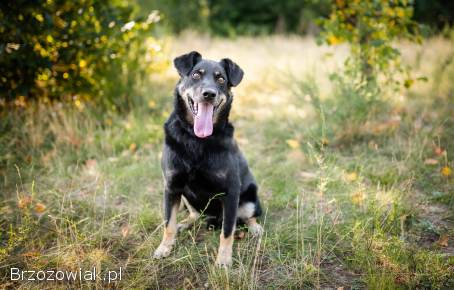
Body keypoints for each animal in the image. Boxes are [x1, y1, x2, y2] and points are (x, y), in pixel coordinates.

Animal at [154, 51, 264, 266]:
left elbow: (228, 231)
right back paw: (185, 223)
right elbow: (168, 222)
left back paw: (255, 228)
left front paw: (223, 259)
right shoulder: (171, 186)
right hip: (186, 197)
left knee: (249, 216)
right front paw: (164, 247)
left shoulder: (230, 191)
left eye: (221, 79)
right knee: (195, 214)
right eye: (196, 75)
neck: (196, 139)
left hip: (248, 199)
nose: (209, 94)